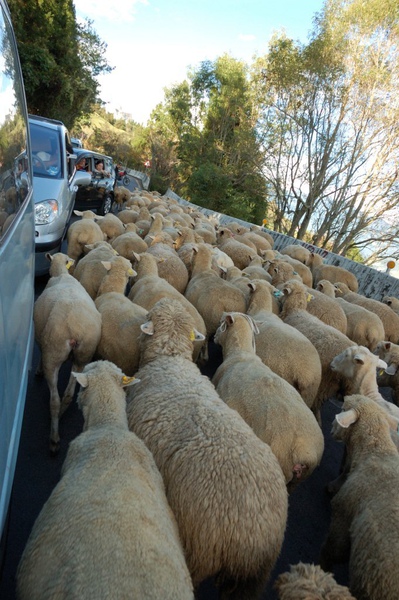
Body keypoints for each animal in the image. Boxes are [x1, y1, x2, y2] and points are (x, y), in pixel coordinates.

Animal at [33, 251, 102, 452]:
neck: (61, 273)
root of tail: (75, 330)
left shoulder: (40, 339)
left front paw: (37, 369)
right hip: (83, 355)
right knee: (69, 395)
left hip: (53, 352)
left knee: (54, 400)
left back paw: (54, 439)